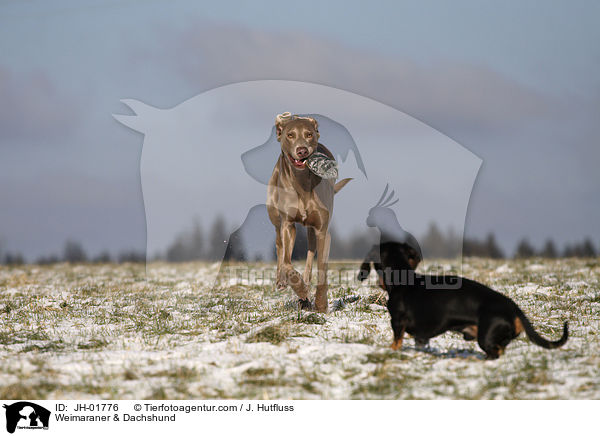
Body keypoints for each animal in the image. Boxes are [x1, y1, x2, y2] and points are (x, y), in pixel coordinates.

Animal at [268, 110, 352, 312]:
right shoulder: (288, 225)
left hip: (312, 229)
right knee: (279, 245)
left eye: (309, 134)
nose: (302, 151)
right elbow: (288, 263)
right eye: (290, 135)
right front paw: (298, 287)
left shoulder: (322, 230)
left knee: (310, 251)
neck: (302, 184)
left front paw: (320, 303)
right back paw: (282, 281)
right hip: (274, 214)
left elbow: (322, 267)